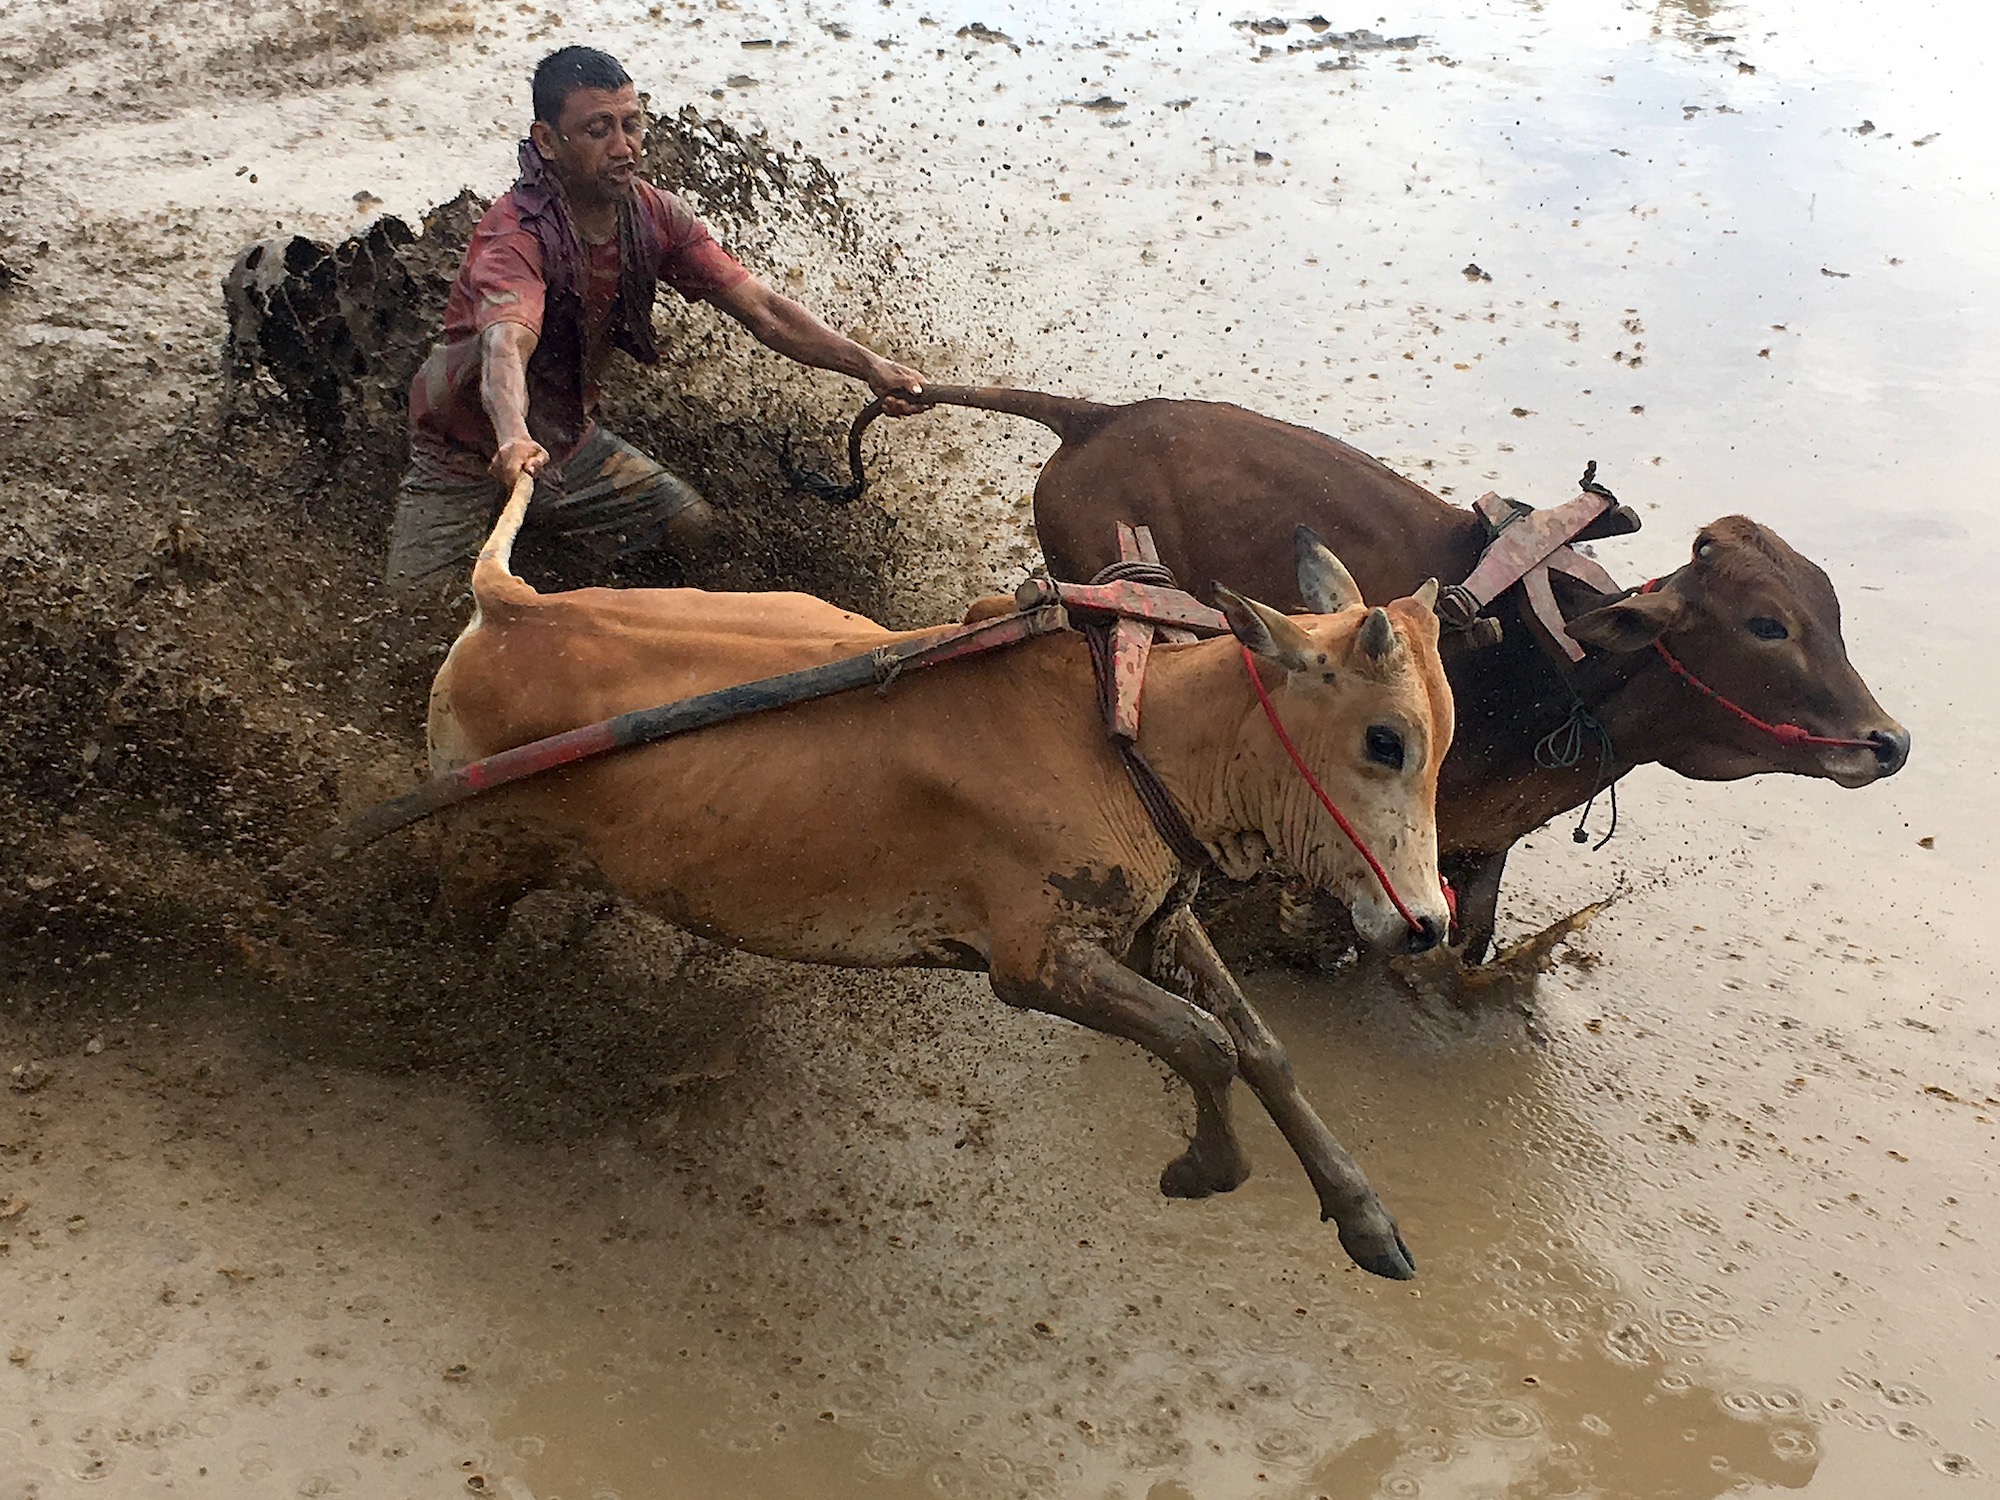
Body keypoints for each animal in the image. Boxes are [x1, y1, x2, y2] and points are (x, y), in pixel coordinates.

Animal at [426, 490, 1456, 1280]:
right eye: (1385, 741)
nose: (1428, 924)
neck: (1134, 735)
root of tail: (507, 605)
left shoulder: (1153, 921)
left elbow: (1261, 1048)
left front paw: (1366, 1220)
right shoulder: (1036, 964)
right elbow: (1204, 1044)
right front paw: (1202, 1168)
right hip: (478, 859)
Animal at [872, 388, 1904, 964]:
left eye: (1832, 612)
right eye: (1767, 625)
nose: (1888, 741)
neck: (1558, 673)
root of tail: (1097, 417)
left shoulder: (1477, 852)